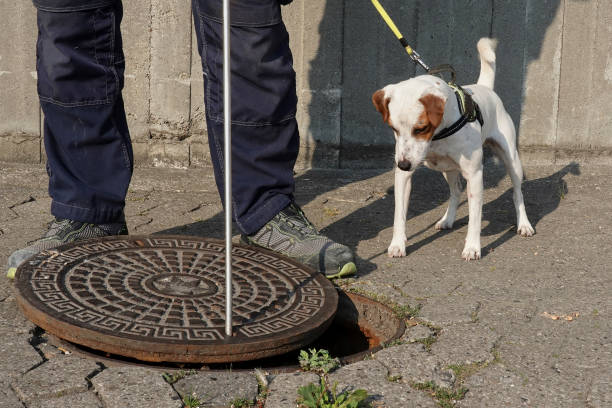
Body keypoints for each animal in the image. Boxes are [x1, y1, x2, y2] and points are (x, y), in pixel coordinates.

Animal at [370, 39, 532, 262]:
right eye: (394, 129)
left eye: (420, 128)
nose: (403, 164)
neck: (438, 136)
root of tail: (484, 88)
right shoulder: (403, 176)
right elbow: (399, 216)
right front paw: (397, 244)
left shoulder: (474, 174)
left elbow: (475, 218)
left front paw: (472, 247)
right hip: (448, 169)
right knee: (456, 191)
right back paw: (448, 219)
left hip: (512, 161)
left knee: (518, 193)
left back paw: (524, 224)